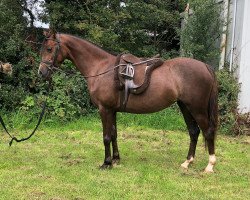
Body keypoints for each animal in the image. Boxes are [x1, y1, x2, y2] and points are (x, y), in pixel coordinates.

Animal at [38, 30, 218, 173]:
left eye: (49, 49)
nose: (42, 72)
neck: (102, 68)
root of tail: (205, 66)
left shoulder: (104, 109)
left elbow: (106, 136)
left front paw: (106, 163)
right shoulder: (112, 110)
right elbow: (114, 134)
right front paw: (116, 159)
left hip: (197, 108)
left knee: (208, 131)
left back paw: (210, 165)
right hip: (185, 106)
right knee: (194, 132)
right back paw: (187, 162)